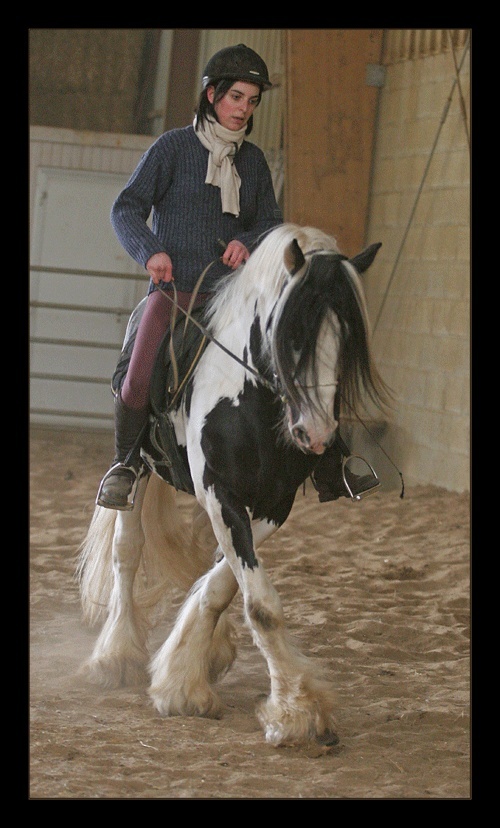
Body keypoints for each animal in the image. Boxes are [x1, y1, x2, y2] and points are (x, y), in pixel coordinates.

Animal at [79, 223, 390, 748]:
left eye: (347, 337)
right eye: (294, 334)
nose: (316, 434)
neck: (250, 396)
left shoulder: (271, 504)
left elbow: (224, 582)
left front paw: (186, 670)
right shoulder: (220, 492)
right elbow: (260, 603)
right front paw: (297, 710)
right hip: (138, 469)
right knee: (127, 550)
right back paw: (116, 653)